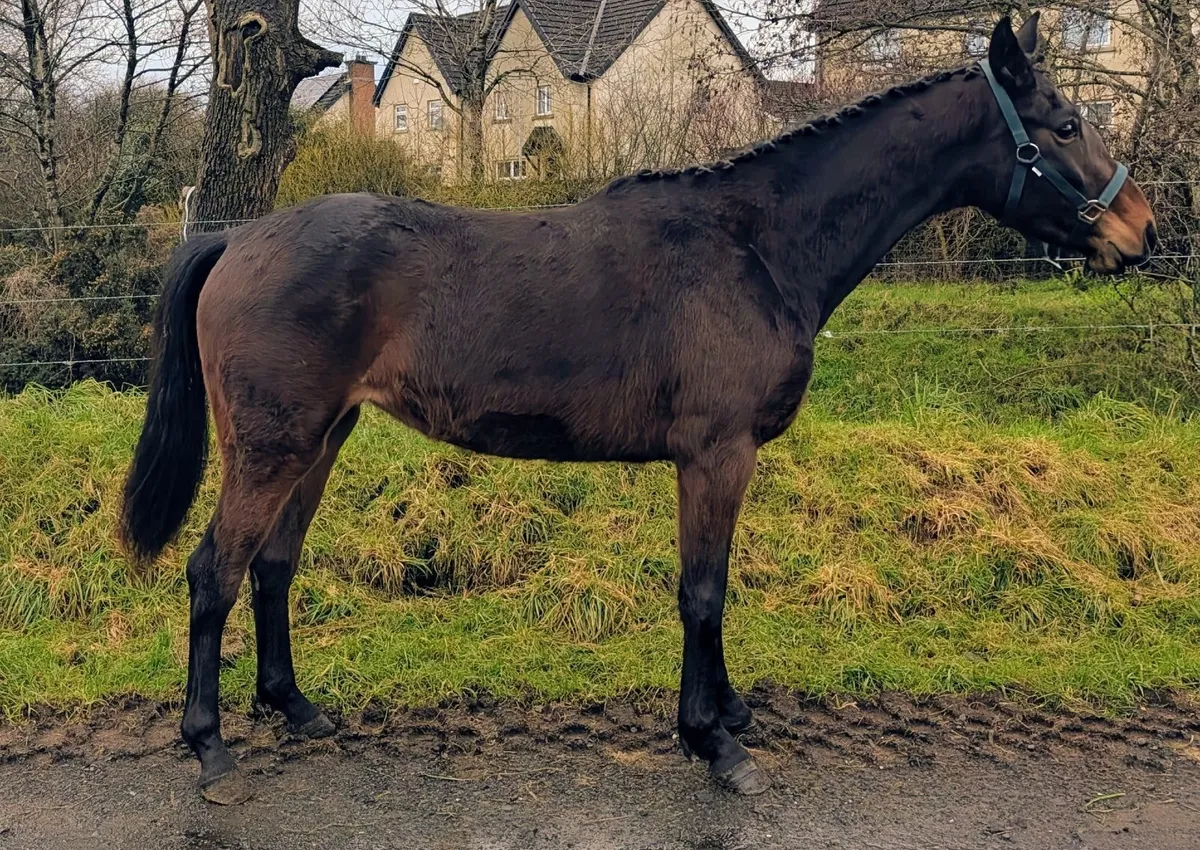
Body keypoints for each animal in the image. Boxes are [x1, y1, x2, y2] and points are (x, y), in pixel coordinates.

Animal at [120, 13, 1156, 804]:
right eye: (1064, 123)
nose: (1139, 230)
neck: (757, 245)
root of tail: (237, 238)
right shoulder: (717, 453)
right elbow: (704, 592)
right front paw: (715, 743)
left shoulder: (721, 459)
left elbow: (716, 586)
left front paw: (727, 713)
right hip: (272, 446)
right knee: (214, 572)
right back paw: (209, 747)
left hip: (322, 438)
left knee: (272, 567)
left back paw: (296, 709)